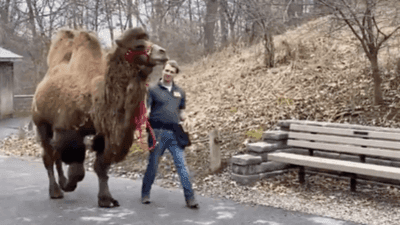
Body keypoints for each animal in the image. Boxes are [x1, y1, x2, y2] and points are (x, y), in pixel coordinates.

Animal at [32, 27, 168, 207]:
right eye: (138, 45)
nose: (162, 52)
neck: (98, 98)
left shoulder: (106, 132)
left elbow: (101, 167)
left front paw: (106, 199)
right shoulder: (67, 130)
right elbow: (78, 170)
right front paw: (69, 185)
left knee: (54, 154)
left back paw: (60, 184)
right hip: (41, 123)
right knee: (49, 155)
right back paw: (56, 191)